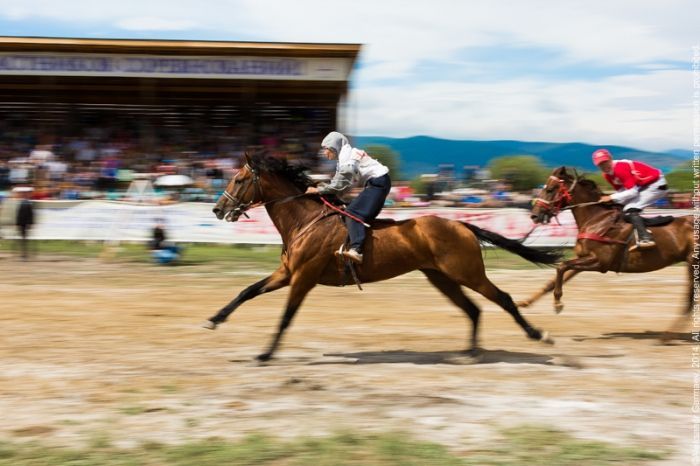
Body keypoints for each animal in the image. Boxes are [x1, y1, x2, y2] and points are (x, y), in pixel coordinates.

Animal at [205, 153, 560, 360]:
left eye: (239, 179)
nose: (218, 209)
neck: (304, 220)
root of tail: (460, 223)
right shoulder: (287, 273)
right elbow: (247, 291)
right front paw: (215, 318)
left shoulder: (303, 277)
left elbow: (286, 316)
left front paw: (266, 353)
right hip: (442, 277)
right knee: (472, 309)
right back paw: (469, 352)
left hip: (467, 273)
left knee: (503, 298)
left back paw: (537, 334)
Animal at [524, 167, 696, 338]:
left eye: (550, 189)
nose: (534, 215)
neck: (596, 219)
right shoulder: (583, 258)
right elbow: (557, 276)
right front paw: (526, 301)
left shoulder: (601, 262)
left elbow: (561, 266)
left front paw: (558, 303)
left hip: (691, 262)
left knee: (689, 300)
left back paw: (666, 336)